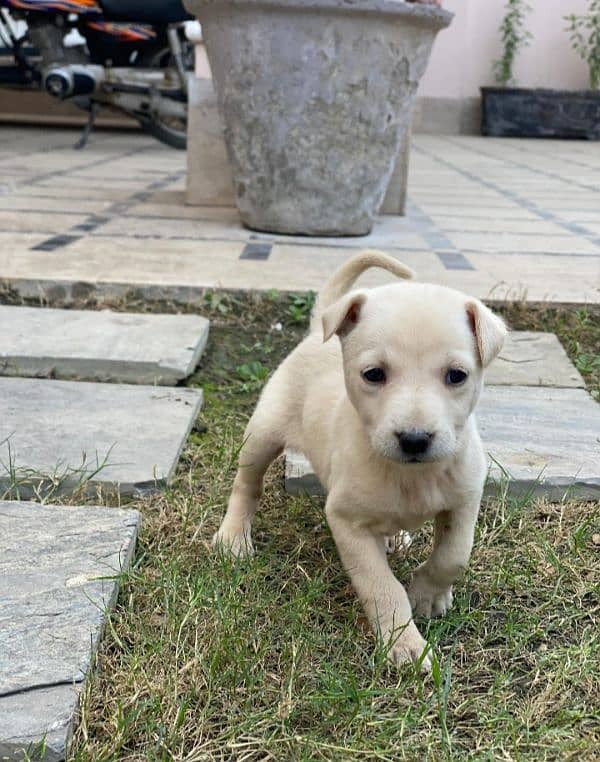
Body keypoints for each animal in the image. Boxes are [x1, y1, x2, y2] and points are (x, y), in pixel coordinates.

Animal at [213, 251, 504, 672]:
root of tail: (317, 331)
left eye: (457, 375)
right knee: (246, 484)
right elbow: (381, 586)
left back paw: (395, 537)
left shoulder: (465, 500)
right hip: (262, 434)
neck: (410, 476)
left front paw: (428, 596)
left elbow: (453, 557)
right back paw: (234, 536)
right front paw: (404, 643)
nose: (414, 439)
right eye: (373, 374)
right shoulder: (347, 522)